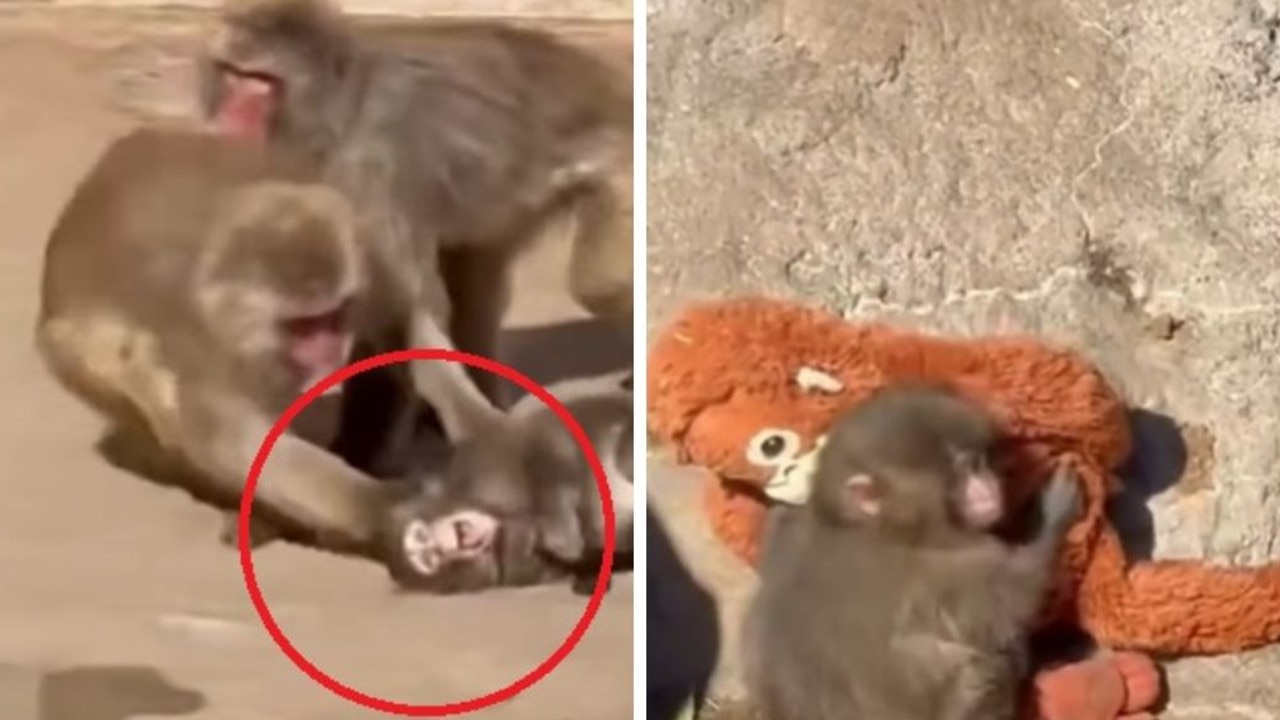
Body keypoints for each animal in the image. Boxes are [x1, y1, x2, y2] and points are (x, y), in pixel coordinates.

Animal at [34, 125, 422, 553]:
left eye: (333, 317)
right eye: (304, 326)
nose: (329, 349)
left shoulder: (369, 272)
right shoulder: (204, 345)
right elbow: (231, 438)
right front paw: (376, 506)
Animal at [197, 0, 634, 417]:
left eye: (261, 82)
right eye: (231, 73)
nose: (228, 121)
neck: (339, 115)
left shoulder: (372, 171)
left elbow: (404, 311)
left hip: (617, 157)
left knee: (599, 285)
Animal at [378, 386, 634, 594]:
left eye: (422, 537)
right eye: (432, 558)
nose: (457, 541)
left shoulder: (493, 455)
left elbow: (547, 453)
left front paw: (560, 529)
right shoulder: (514, 567)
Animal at [743, 384, 1083, 720]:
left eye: (978, 464)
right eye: (963, 474)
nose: (989, 488)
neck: (872, 526)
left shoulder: (793, 527)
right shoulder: (933, 570)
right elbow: (1014, 597)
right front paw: (1053, 514)